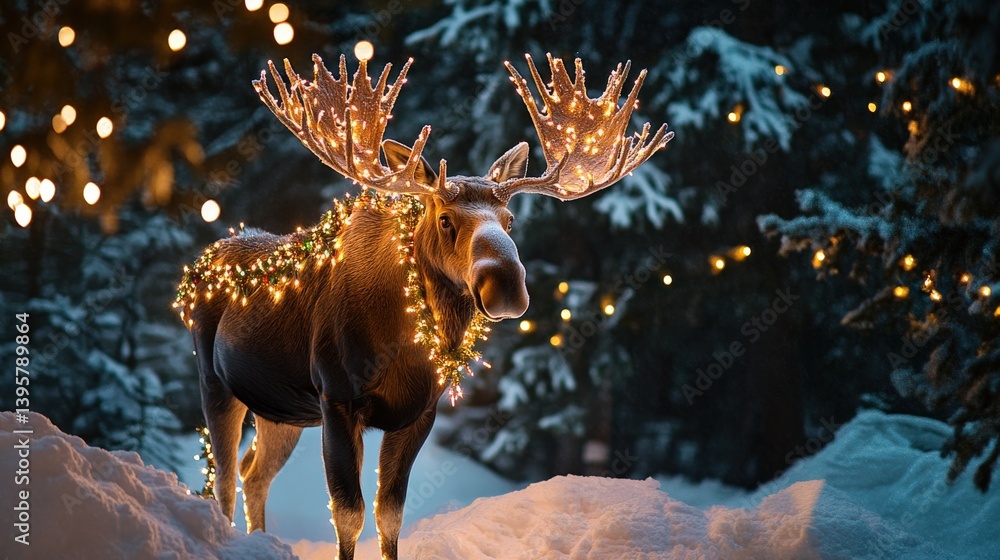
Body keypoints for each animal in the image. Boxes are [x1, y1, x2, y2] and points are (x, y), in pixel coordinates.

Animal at [180, 51, 672, 560]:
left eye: (510, 220)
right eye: (445, 219)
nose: (506, 285)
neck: (405, 340)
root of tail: (201, 266)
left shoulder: (419, 412)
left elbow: (390, 513)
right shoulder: (337, 396)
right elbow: (349, 514)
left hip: (283, 408)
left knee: (254, 473)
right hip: (214, 380)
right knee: (223, 479)